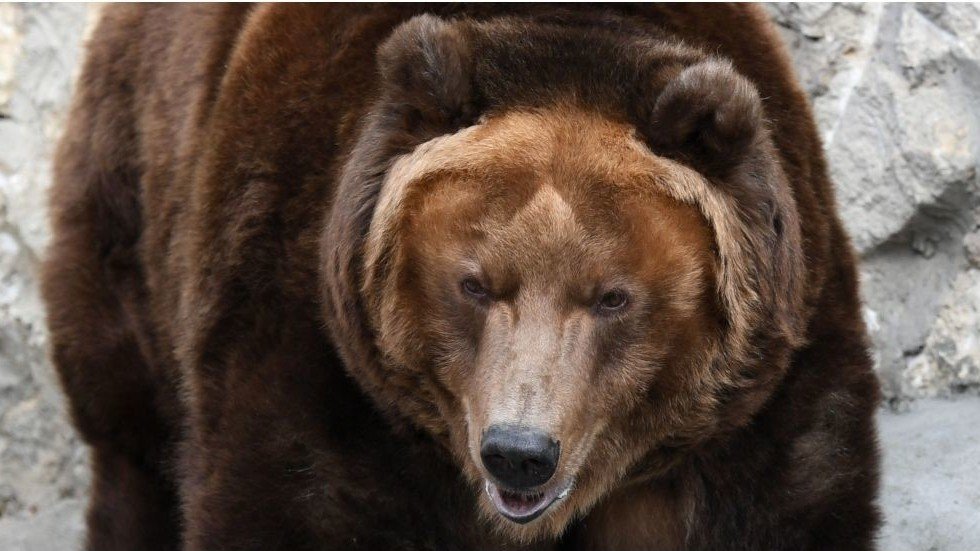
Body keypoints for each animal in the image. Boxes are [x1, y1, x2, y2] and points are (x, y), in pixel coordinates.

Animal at [42, 4, 881, 551]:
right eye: (475, 283)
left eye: (612, 296)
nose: (519, 450)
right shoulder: (317, 347)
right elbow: (289, 502)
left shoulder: (755, 405)